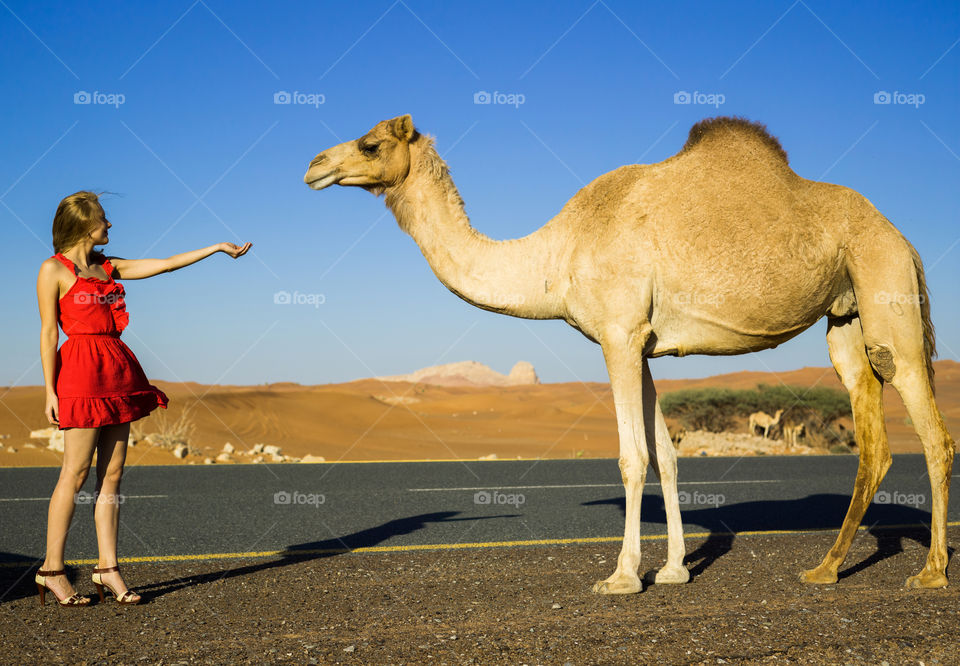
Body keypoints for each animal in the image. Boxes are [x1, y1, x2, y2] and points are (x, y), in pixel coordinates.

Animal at [304, 114, 954, 593]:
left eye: (369, 143)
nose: (313, 165)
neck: (555, 256)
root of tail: (904, 237)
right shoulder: (640, 342)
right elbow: (666, 454)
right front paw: (672, 570)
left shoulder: (617, 334)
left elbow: (632, 456)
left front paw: (621, 577)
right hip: (846, 315)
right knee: (872, 435)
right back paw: (825, 568)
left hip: (886, 287)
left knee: (932, 432)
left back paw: (931, 573)